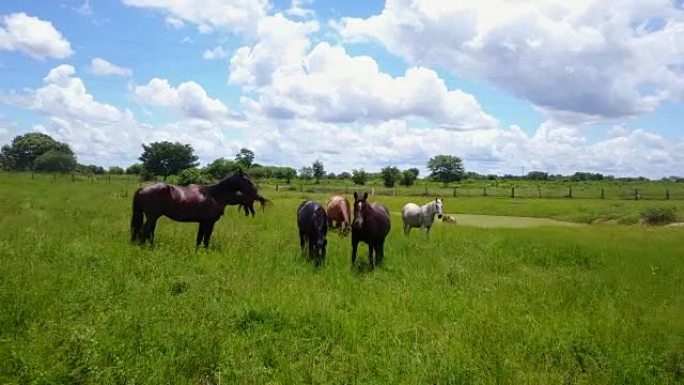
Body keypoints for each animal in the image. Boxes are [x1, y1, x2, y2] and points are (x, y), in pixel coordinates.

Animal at [131, 170, 260, 248]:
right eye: (247, 180)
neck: (215, 194)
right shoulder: (209, 222)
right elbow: (206, 239)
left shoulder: (202, 222)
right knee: (143, 233)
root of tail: (142, 189)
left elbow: (199, 238)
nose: (256, 193)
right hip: (152, 217)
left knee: (149, 233)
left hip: (153, 218)